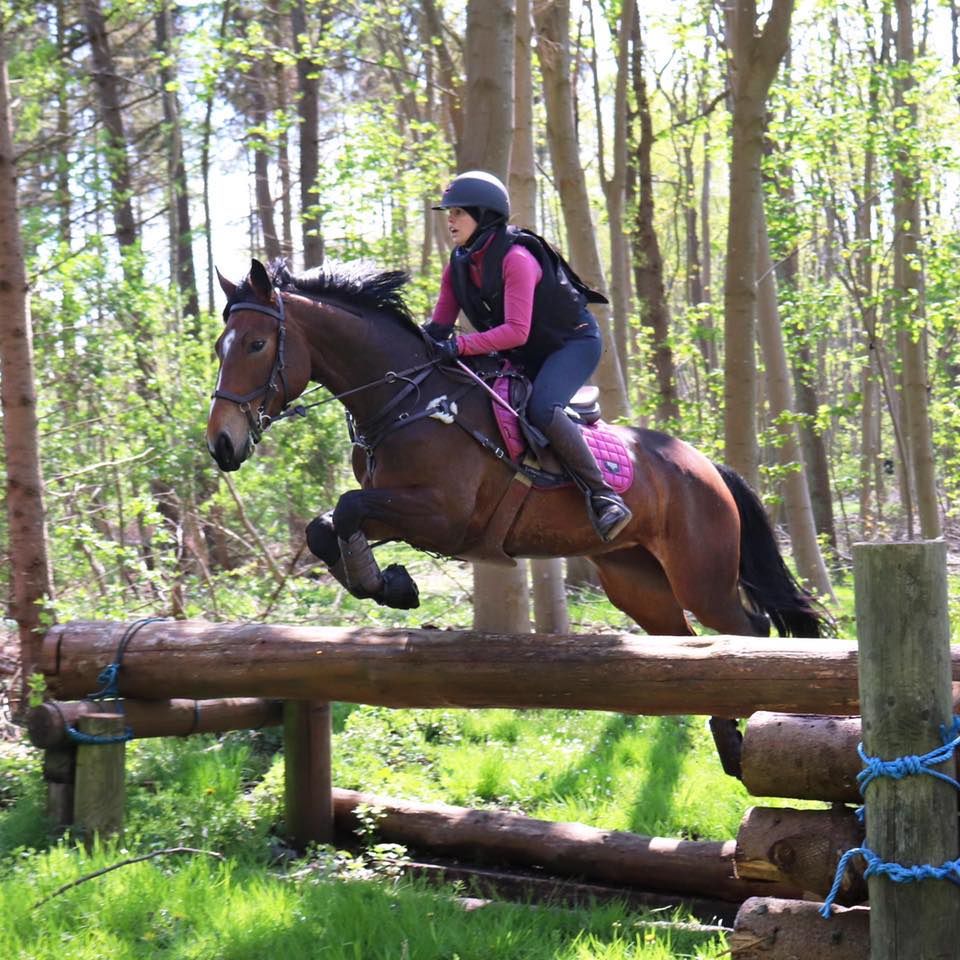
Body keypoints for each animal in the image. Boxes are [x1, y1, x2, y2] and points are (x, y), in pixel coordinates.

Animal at [206, 256, 828, 780]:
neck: (410, 400)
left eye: (257, 343)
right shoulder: (402, 508)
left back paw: (746, 730)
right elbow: (326, 525)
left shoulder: (443, 515)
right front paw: (388, 584)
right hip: (637, 582)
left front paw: (386, 583)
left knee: (749, 631)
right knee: (687, 648)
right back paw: (728, 741)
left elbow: (346, 508)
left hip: (702, 574)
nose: (221, 445)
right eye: (218, 347)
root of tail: (708, 466)